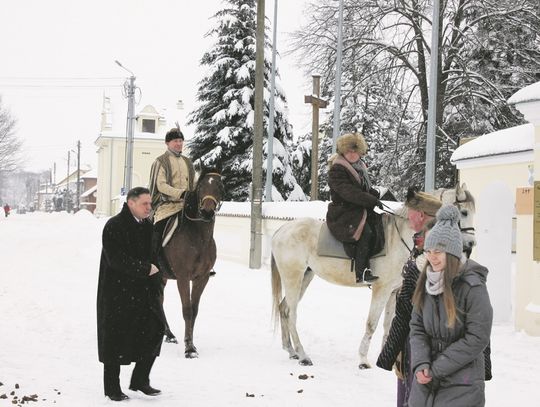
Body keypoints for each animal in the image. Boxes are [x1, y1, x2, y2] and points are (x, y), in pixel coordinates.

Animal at [160, 171, 224, 358]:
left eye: (219, 186)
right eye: (201, 185)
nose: (207, 212)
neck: (198, 238)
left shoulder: (202, 278)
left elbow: (194, 310)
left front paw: (191, 343)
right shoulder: (183, 278)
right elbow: (187, 310)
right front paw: (189, 348)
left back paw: (169, 334)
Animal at [272, 185, 474, 370]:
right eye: (463, 212)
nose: (470, 244)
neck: (398, 238)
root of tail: (282, 230)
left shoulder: (393, 292)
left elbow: (387, 324)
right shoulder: (381, 289)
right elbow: (372, 324)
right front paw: (363, 360)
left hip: (305, 276)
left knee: (284, 309)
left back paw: (291, 350)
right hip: (293, 277)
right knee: (292, 313)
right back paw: (303, 355)